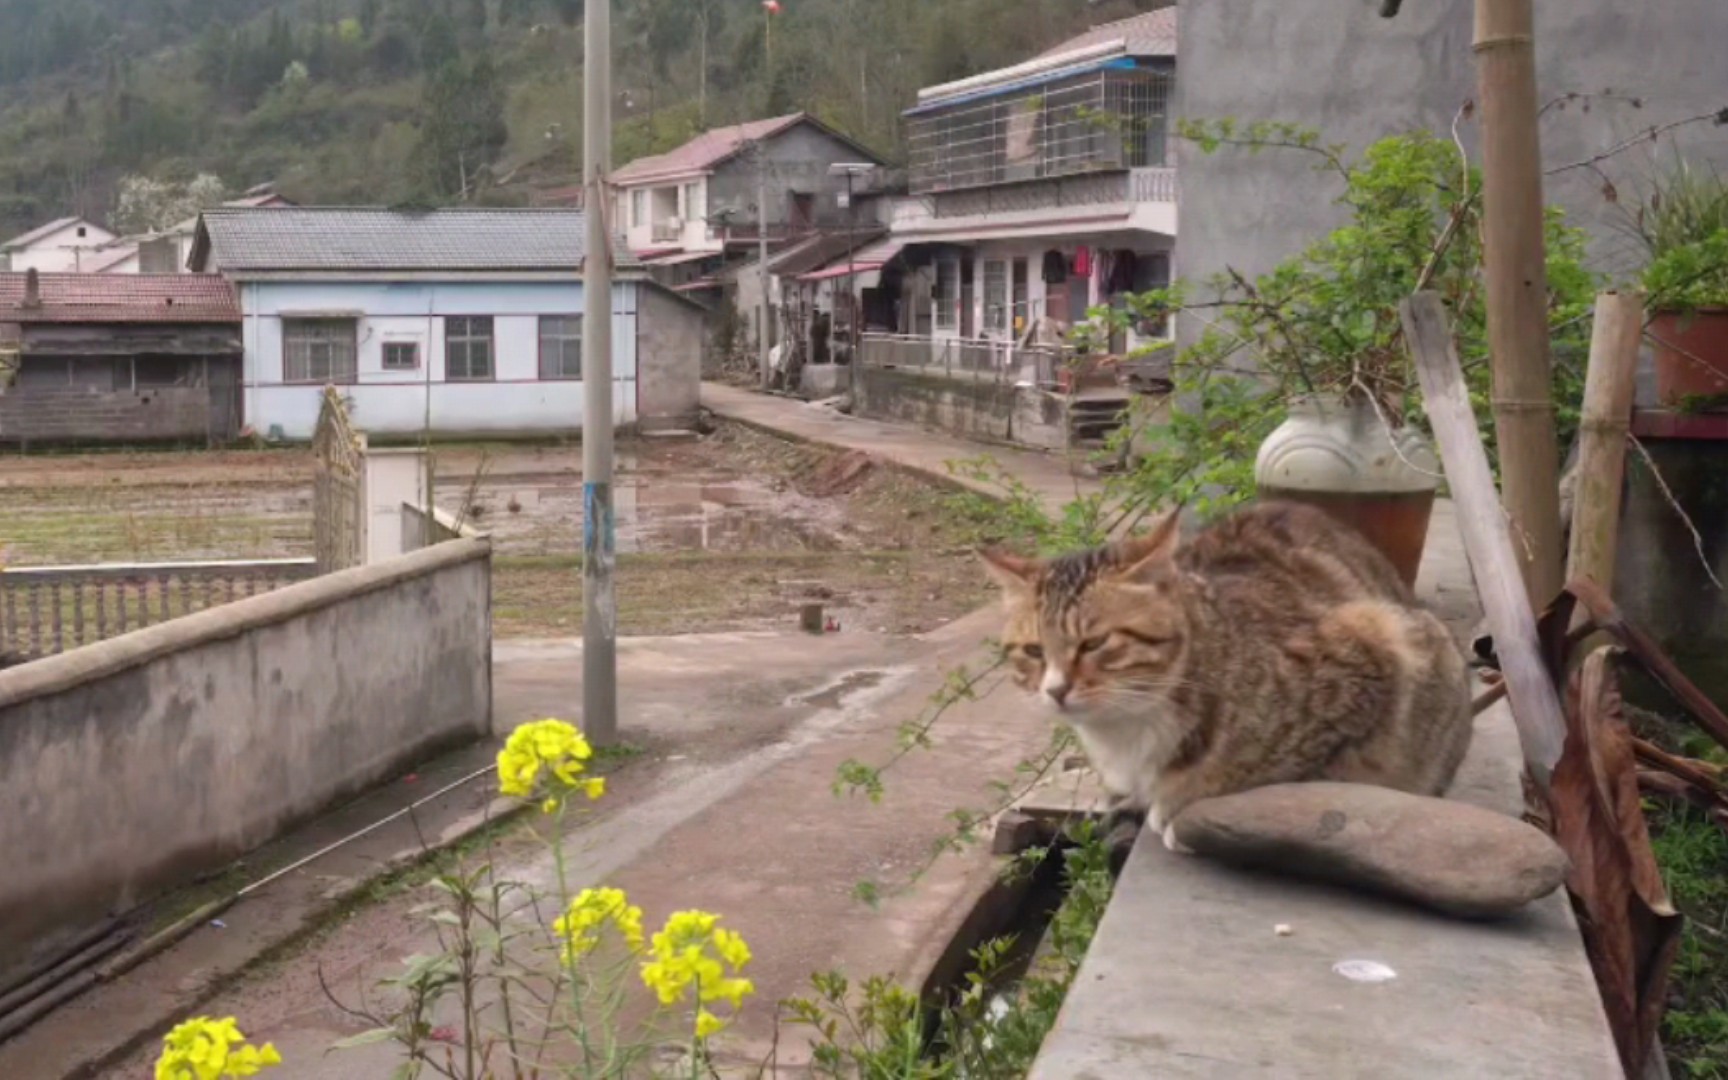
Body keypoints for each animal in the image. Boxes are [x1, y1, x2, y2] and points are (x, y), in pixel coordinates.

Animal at [988, 501, 1472, 846]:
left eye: (1094, 643)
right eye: (1033, 651)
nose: (1055, 690)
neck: (1127, 730)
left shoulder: (1373, 654)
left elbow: (1310, 773)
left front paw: (1177, 807)